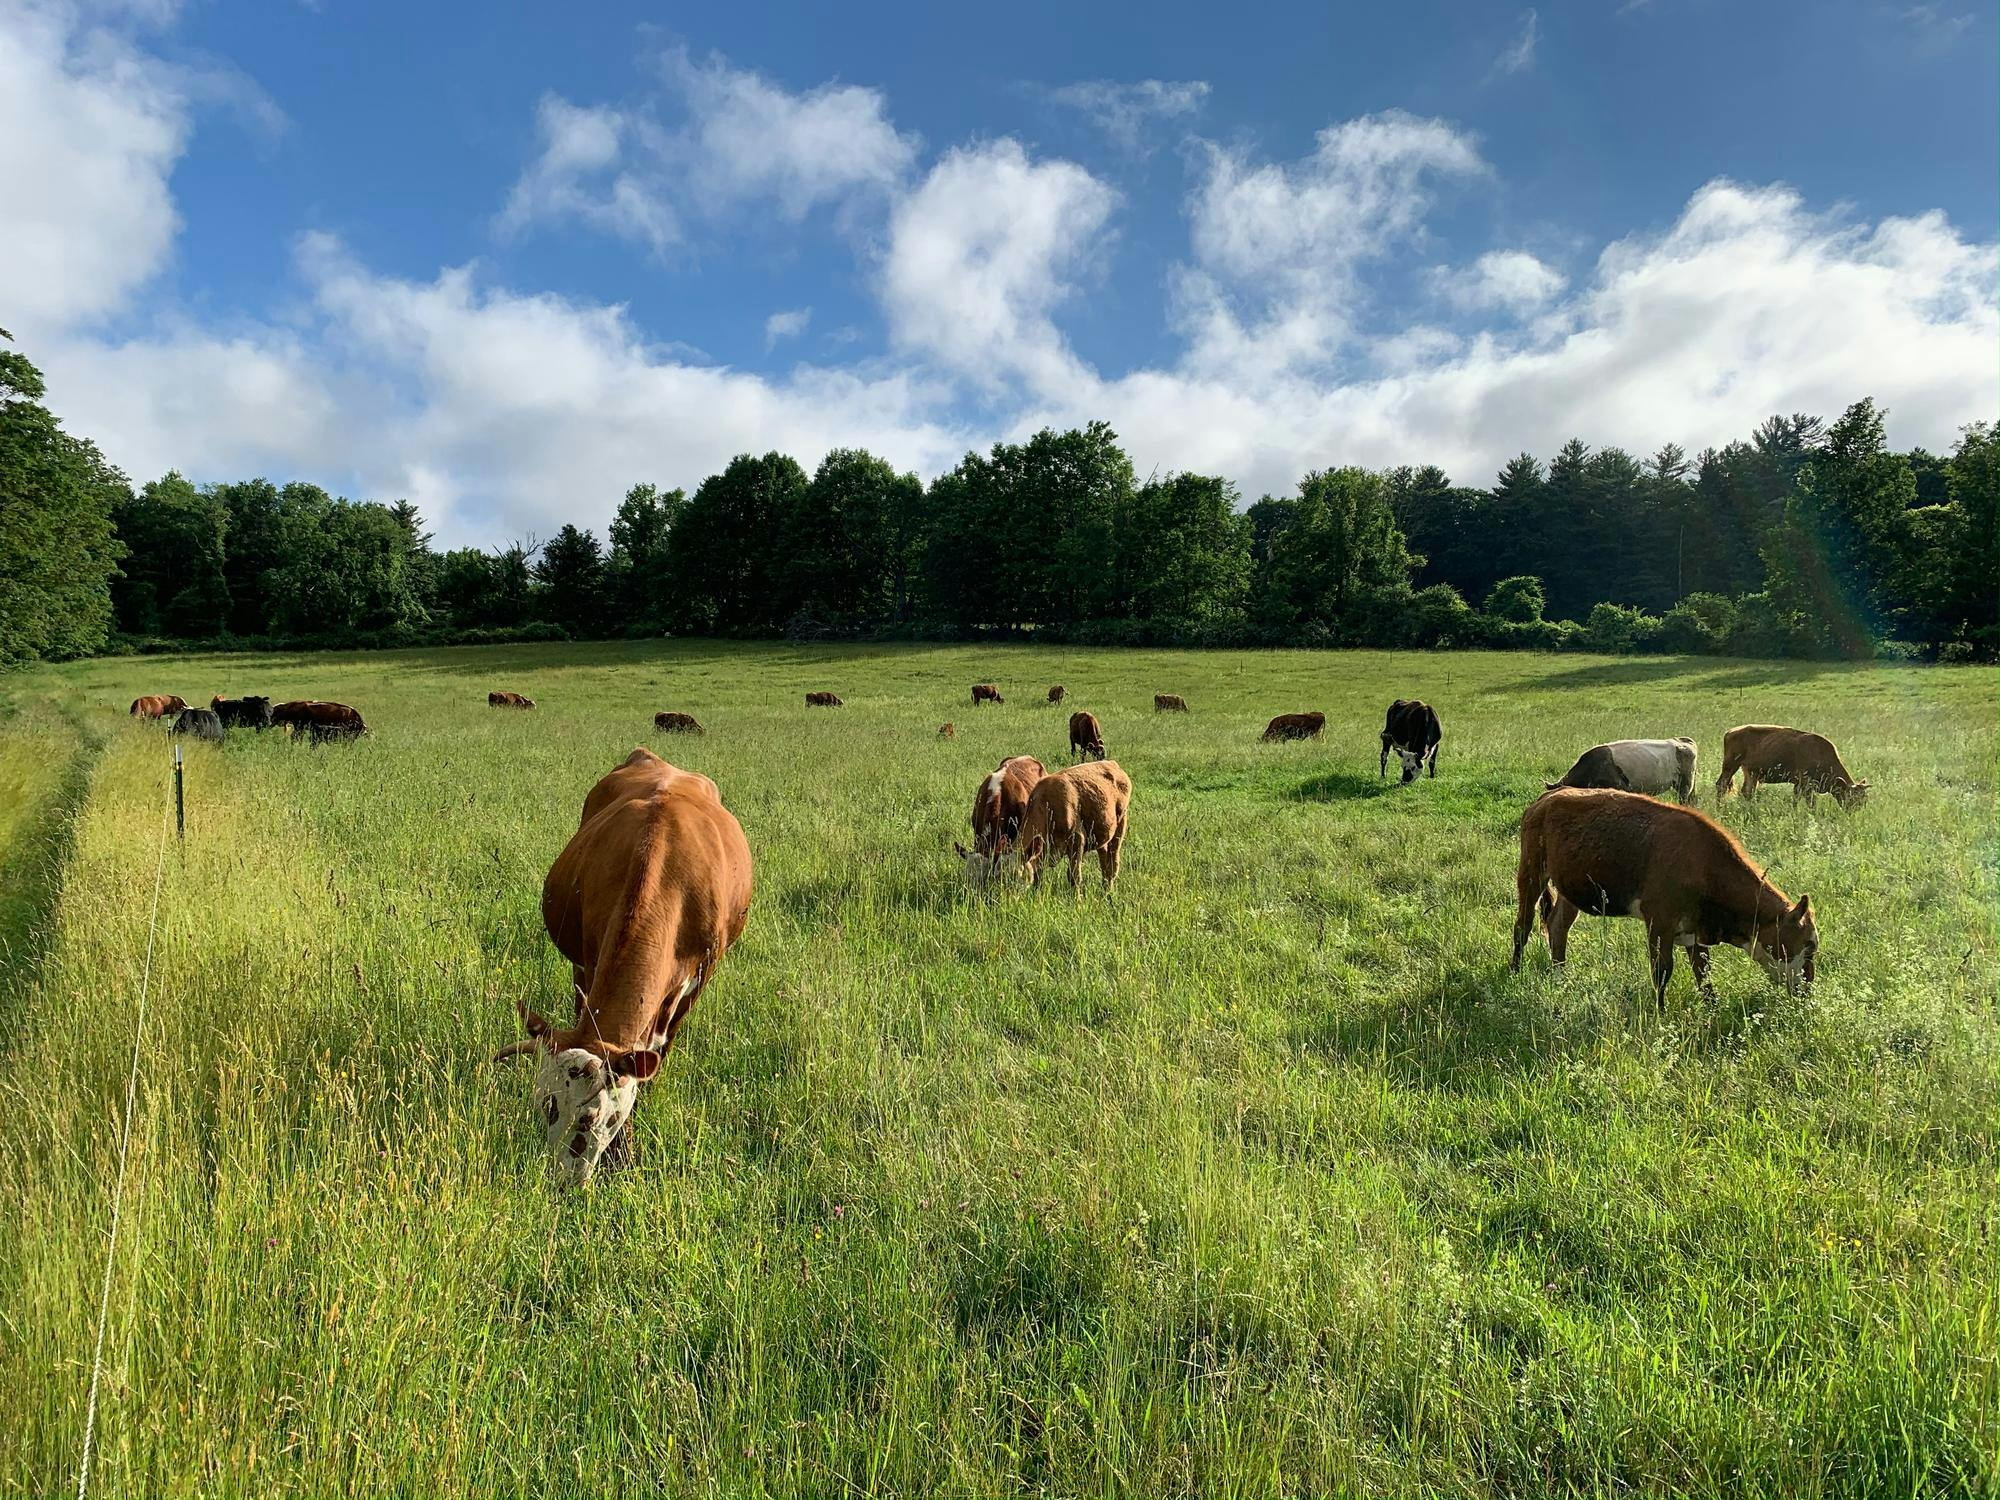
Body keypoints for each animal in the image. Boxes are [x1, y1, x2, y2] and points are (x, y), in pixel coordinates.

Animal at [1012, 760, 1131, 891]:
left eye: (1015, 873)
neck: (1046, 806)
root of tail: (1111, 763)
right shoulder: (1043, 849)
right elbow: (1038, 872)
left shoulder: (1077, 839)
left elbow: (1074, 877)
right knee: (1104, 860)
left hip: (1121, 823)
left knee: (1113, 862)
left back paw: (1109, 890)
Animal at [1511, 787, 1818, 1009]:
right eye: (1809, 945)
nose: (1807, 989)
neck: (1703, 863)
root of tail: (1550, 795)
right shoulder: (1659, 921)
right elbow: (1662, 971)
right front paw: (1660, 1013)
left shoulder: (1694, 928)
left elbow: (1703, 974)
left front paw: (1712, 1009)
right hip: (1531, 871)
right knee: (1522, 926)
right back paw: (1515, 972)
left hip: (1570, 888)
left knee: (1558, 925)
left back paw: (1561, 977)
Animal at [1715, 725, 1869, 808]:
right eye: (1851, 797)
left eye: (1864, 798)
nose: (1855, 811)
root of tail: (1730, 732)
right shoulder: (1806, 784)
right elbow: (1810, 802)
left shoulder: (1798, 784)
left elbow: (1795, 799)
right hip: (1730, 766)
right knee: (1721, 785)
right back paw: (1720, 808)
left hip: (1751, 772)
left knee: (1747, 791)